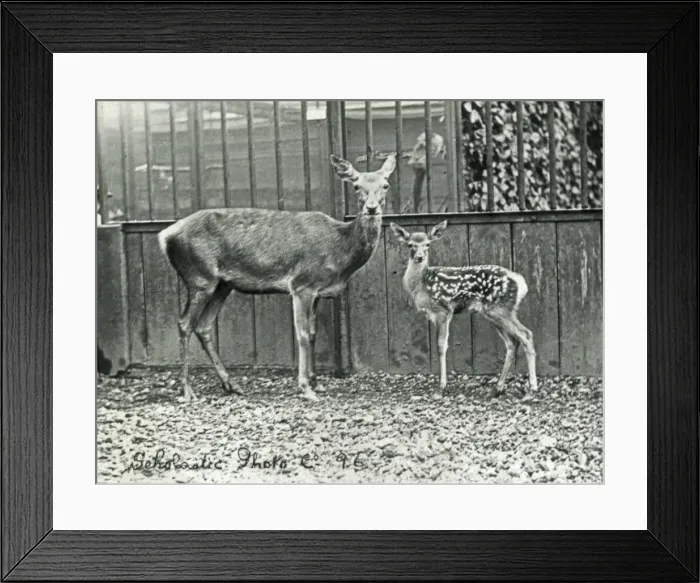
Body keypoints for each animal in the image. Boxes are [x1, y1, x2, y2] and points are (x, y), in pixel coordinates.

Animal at [158, 153, 397, 402]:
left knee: (203, 326)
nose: (372, 208)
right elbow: (302, 334)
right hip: (199, 276)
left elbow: (313, 334)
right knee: (185, 323)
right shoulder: (302, 284)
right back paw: (187, 389)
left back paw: (231, 384)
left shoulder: (317, 291)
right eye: (357, 185)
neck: (339, 250)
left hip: (222, 284)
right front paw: (306, 387)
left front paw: (317, 382)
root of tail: (164, 236)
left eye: (385, 185)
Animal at [389, 220, 537, 399]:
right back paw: (498, 388)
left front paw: (441, 387)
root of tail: (521, 283)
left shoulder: (443, 310)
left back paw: (532, 388)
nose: (419, 257)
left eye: (427, 244)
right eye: (410, 244)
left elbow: (441, 346)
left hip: (501, 309)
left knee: (526, 334)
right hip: (495, 313)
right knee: (512, 343)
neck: (421, 284)